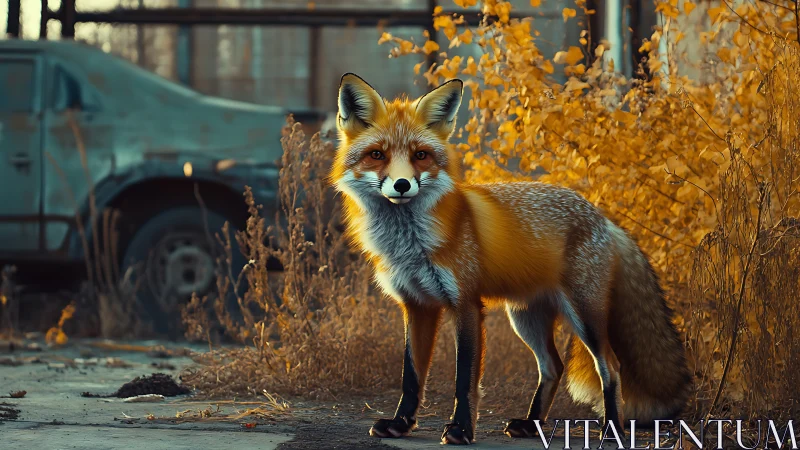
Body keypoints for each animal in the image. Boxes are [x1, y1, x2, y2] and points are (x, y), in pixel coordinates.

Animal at [330, 73, 692, 445]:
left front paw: (460, 429)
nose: (402, 184)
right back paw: (531, 424)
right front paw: (401, 424)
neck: (410, 245)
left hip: (584, 315)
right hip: (525, 318)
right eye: (377, 154)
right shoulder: (417, 306)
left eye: (420, 155)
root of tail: (603, 217)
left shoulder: (466, 303)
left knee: (610, 366)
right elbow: (411, 376)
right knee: (553, 366)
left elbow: (464, 379)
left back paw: (612, 429)